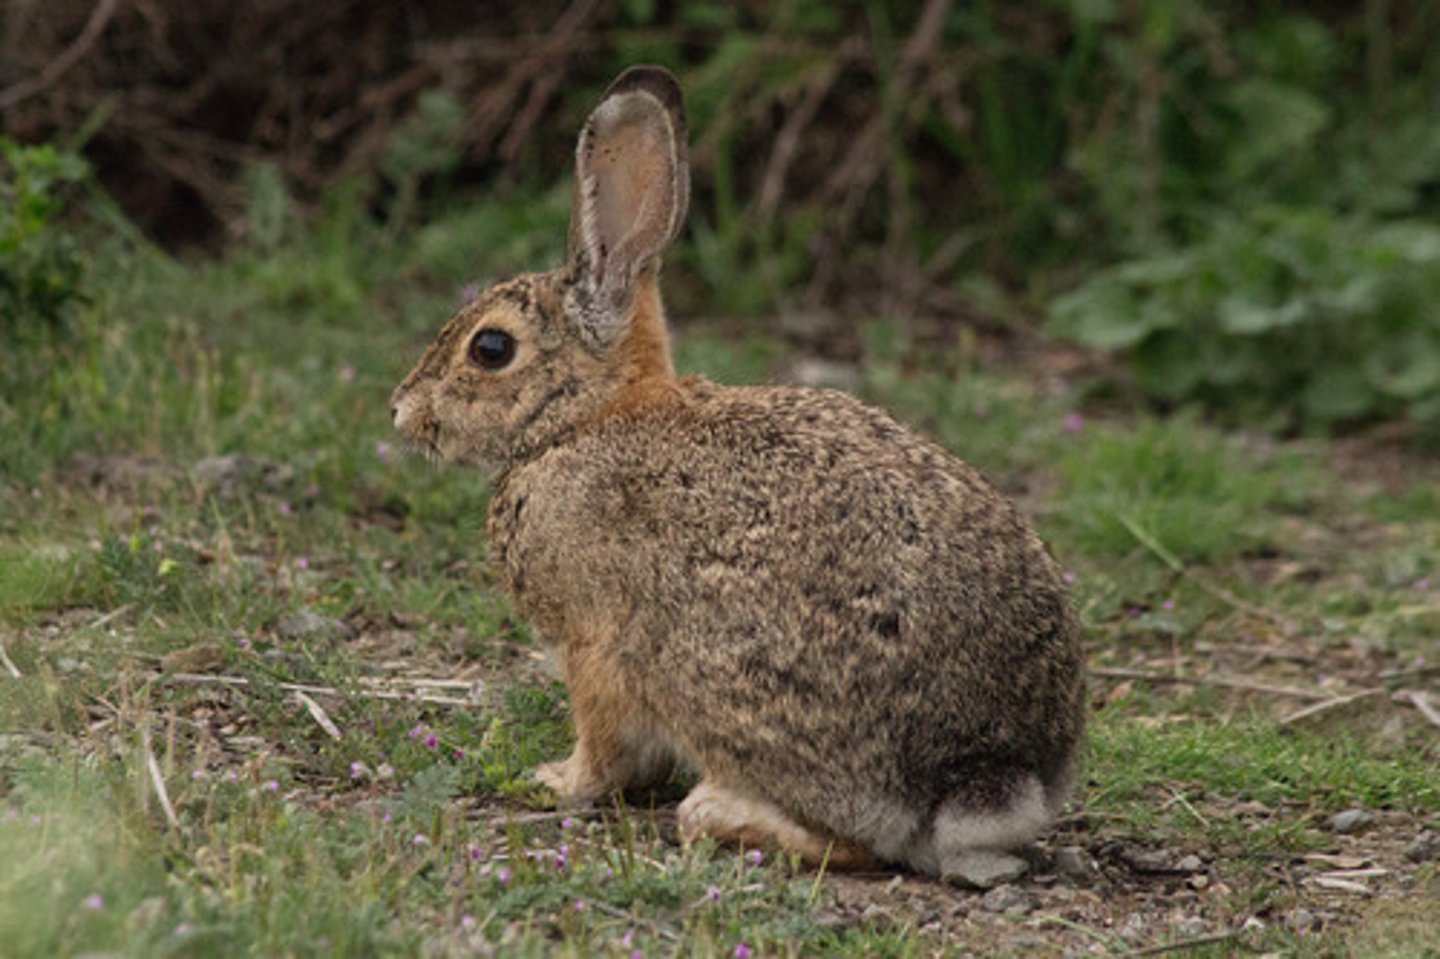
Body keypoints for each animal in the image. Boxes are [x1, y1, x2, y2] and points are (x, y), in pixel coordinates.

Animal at [390, 65, 1086, 881]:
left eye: (491, 348)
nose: (403, 411)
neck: (584, 419)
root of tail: (984, 775)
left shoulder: (595, 645)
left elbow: (604, 745)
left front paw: (557, 780)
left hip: (717, 685)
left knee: (847, 843)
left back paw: (714, 812)